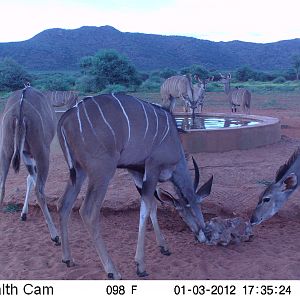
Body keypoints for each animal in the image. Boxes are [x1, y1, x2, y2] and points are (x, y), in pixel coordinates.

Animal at [0, 85, 60, 245]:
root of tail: (20, 112)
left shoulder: (25, 153)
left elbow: (29, 177)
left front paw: (24, 213)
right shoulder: (34, 154)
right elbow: (33, 179)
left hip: (6, 151)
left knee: (2, 187)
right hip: (43, 153)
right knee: (39, 190)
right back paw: (55, 236)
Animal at [57, 94, 212, 278]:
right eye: (184, 212)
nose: (203, 235)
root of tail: (67, 117)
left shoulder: (136, 172)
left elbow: (152, 206)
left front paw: (164, 247)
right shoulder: (152, 168)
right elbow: (145, 209)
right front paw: (140, 265)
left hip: (78, 171)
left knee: (63, 204)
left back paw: (67, 258)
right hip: (102, 171)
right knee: (88, 212)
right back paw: (113, 271)